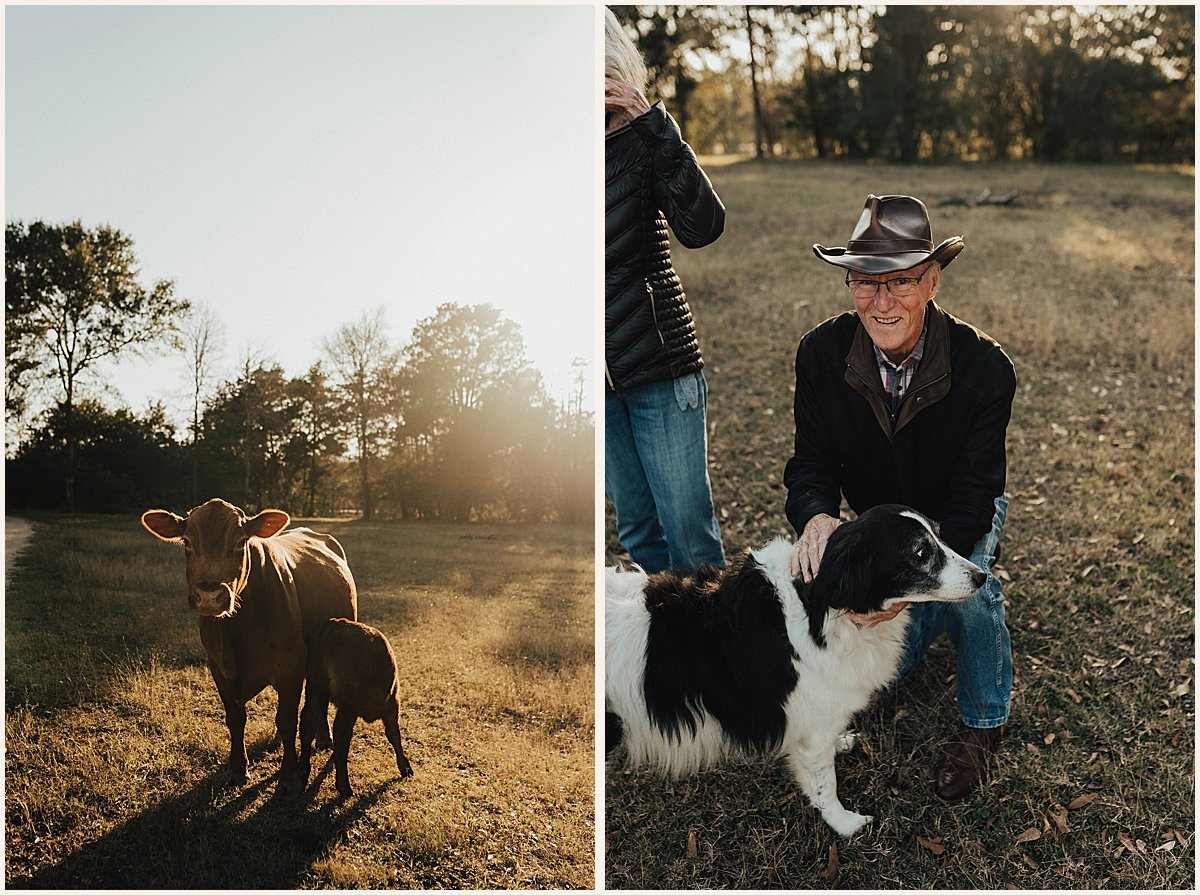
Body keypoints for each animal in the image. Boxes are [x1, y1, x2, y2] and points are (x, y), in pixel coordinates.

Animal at [139, 499, 352, 791]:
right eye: (187, 541)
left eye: (241, 542)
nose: (209, 595)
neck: (237, 631)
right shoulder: (217, 665)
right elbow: (236, 717)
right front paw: (239, 768)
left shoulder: (292, 663)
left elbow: (287, 719)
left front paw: (288, 776)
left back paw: (323, 738)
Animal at [297, 614, 415, 796]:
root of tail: (334, 625)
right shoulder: (390, 706)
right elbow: (394, 735)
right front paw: (406, 768)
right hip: (346, 704)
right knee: (340, 735)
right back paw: (344, 786)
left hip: (316, 687)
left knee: (308, 723)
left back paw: (303, 774)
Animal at [604, 501, 988, 835]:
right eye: (920, 552)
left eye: (939, 536)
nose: (983, 576)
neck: (819, 606)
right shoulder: (811, 725)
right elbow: (823, 783)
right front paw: (844, 824)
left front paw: (841, 742)